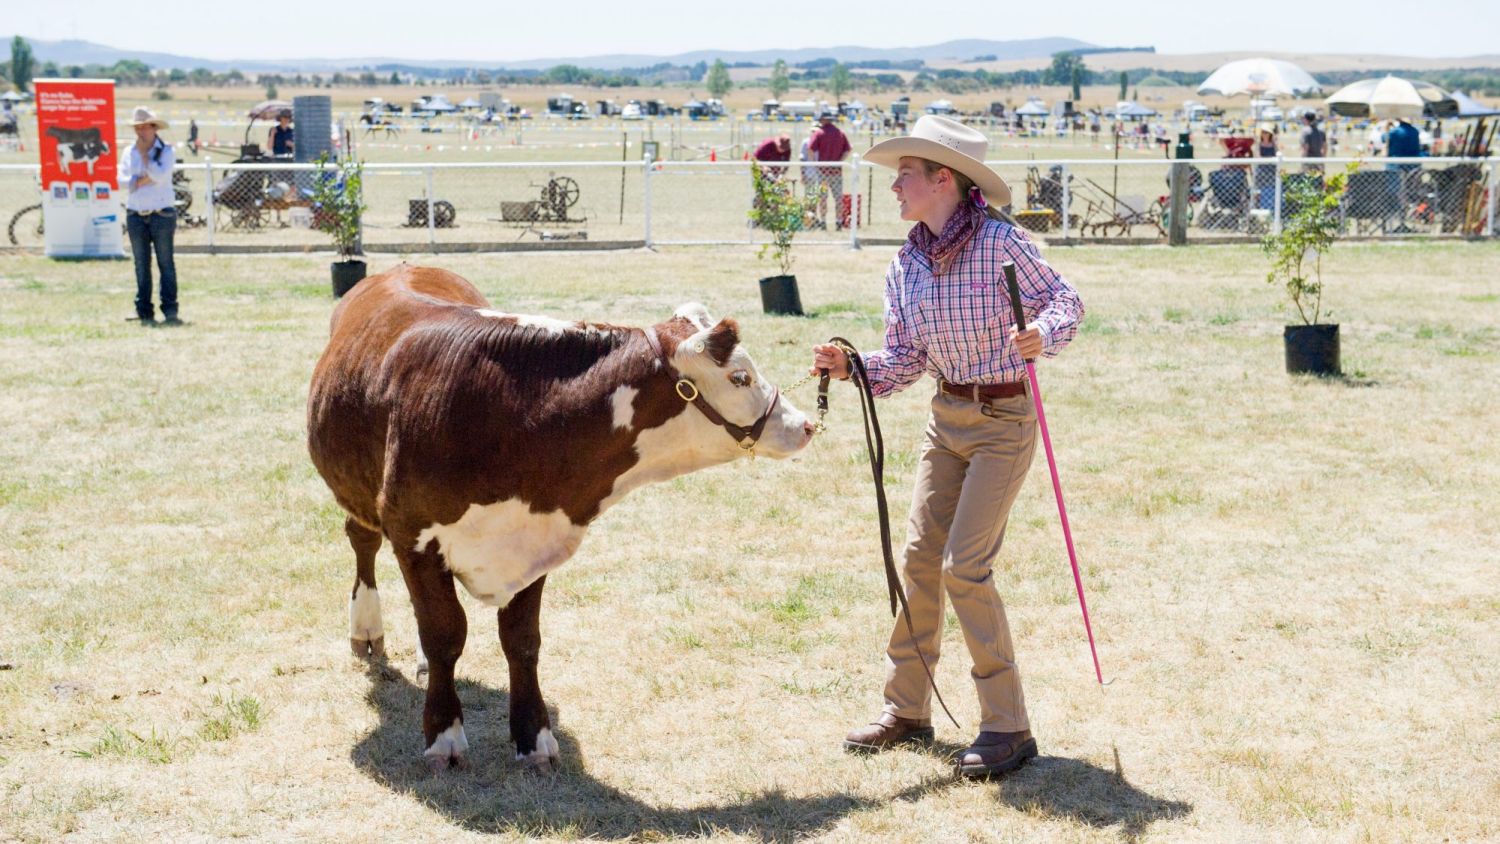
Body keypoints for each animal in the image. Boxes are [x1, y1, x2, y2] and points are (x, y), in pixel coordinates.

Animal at [307, 263, 822, 773]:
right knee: (363, 542)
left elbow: (521, 640)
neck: (512, 414)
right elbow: (444, 634)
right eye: (739, 378)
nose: (805, 425)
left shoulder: (537, 538)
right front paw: (444, 735)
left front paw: (534, 737)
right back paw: (366, 630)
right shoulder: (413, 534)